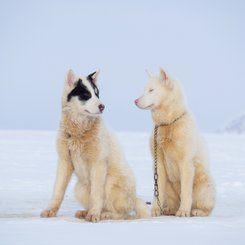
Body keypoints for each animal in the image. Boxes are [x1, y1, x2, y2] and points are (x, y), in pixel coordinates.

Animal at [40, 69, 149, 222]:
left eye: (97, 94)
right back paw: (85, 212)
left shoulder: (98, 164)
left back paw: (104, 214)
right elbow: (58, 190)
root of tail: (134, 199)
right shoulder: (65, 161)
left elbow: (97, 194)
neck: (78, 132)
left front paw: (93, 215)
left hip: (109, 183)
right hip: (80, 188)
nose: (102, 106)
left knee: (122, 214)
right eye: (86, 95)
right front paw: (50, 210)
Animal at [135, 67, 215, 216]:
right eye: (144, 90)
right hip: (169, 186)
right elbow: (158, 191)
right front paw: (155, 210)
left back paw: (196, 211)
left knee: (205, 207)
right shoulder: (158, 164)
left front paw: (183, 211)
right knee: (170, 200)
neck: (168, 123)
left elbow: (186, 192)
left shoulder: (186, 163)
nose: (135, 101)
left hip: (203, 184)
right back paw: (168, 209)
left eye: (151, 90)